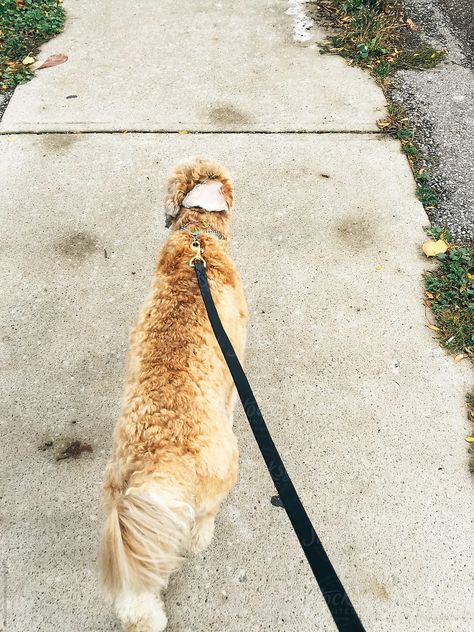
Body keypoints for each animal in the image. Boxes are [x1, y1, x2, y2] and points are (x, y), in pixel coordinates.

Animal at [100, 159, 248, 632]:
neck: (196, 239)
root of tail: (159, 463)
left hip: (130, 523)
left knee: (136, 594)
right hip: (224, 468)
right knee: (204, 518)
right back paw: (202, 537)